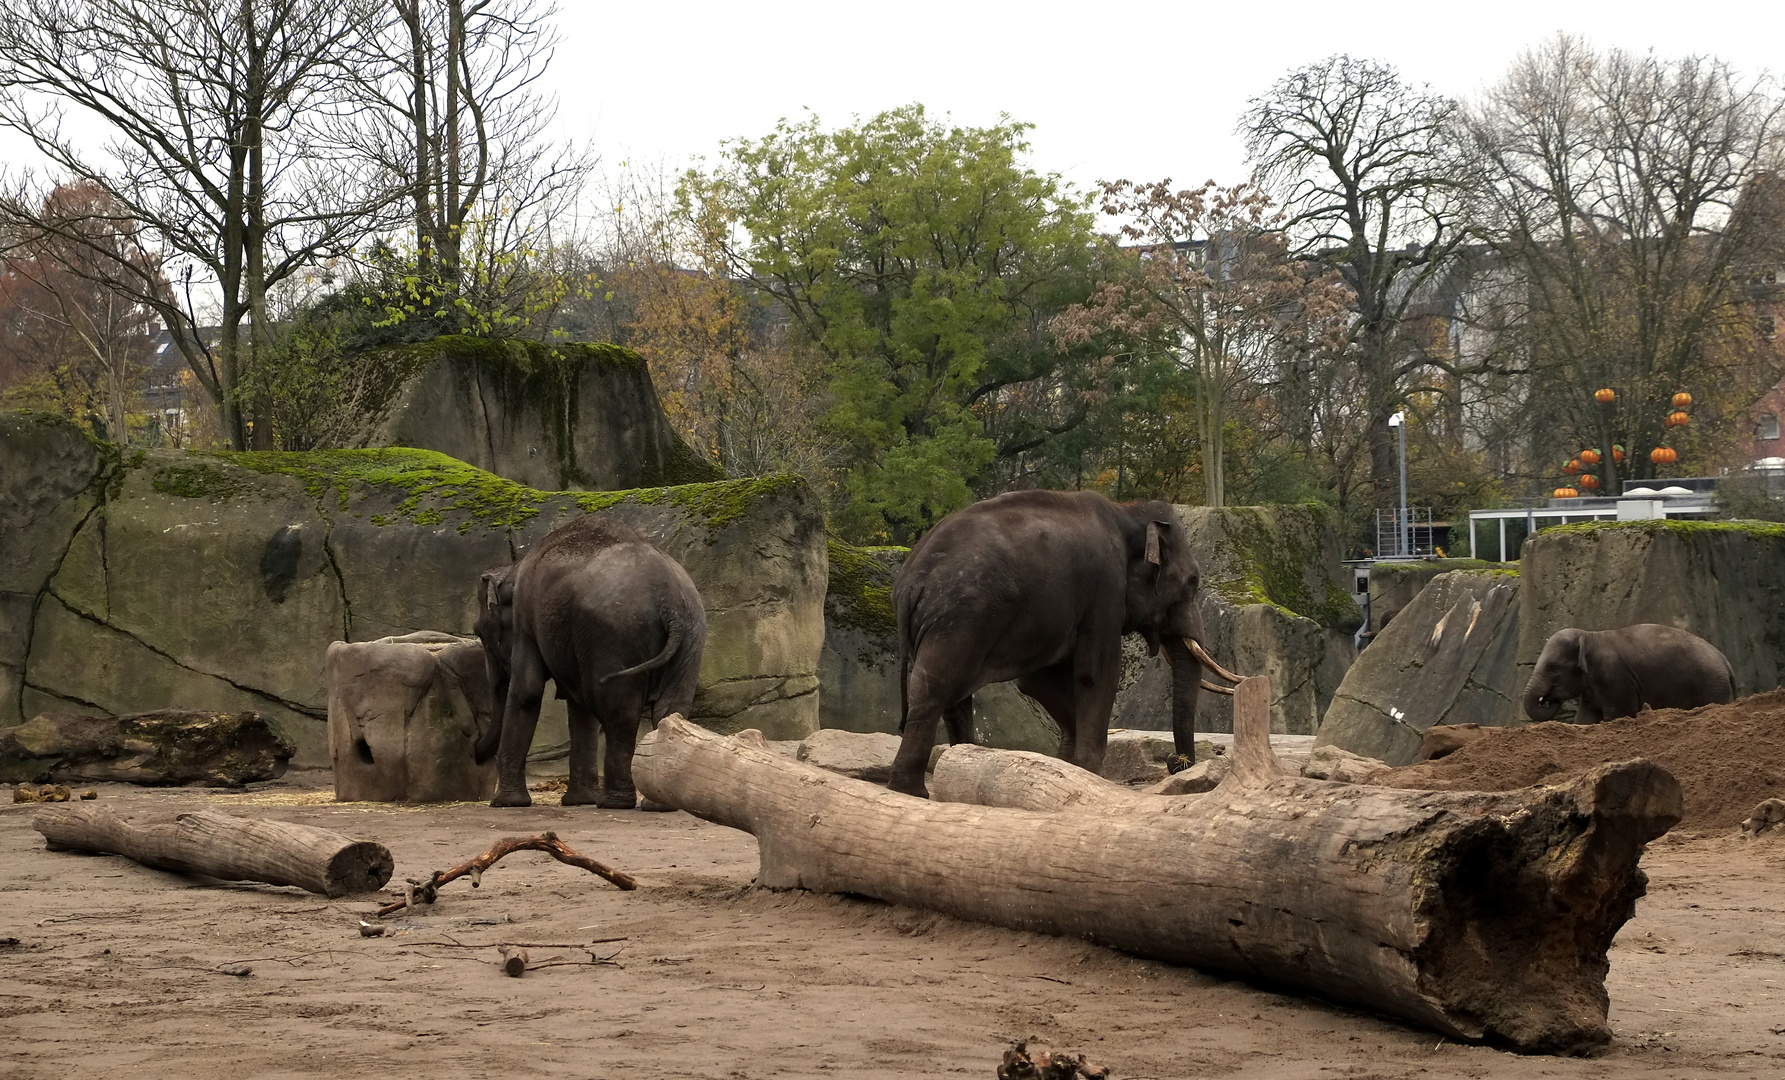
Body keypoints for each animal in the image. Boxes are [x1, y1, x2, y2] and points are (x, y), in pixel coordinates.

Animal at [478, 517, 706, 806]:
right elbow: (578, 706)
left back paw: (614, 802)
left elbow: (527, 691)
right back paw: (658, 805)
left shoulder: (525, 620)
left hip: (615, 635)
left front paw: (506, 803)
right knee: (671, 708)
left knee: (619, 712)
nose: (475, 753)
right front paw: (579, 800)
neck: (514, 568)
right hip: (692, 633)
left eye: (479, 633)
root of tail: (671, 599)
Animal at [885, 492, 1249, 796]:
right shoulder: (1104, 589)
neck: (1127, 511)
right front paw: (1088, 772)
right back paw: (911, 791)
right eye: (1192, 583)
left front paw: (1066, 765)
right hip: (959, 618)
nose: (1175, 763)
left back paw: (958, 763)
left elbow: (1038, 681)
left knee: (952, 696)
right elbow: (1097, 674)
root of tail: (909, 581)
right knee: (933, 689)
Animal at [1527, 624, 1735, 724]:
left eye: (1552, 668)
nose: (1550, 700)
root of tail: (1726, 661)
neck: (1589, 635)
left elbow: (1618, 714)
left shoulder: (1615, 678)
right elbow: (1585, 719)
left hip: (1712, 687)